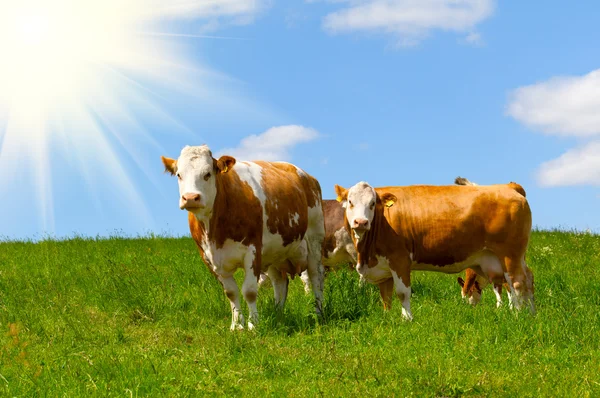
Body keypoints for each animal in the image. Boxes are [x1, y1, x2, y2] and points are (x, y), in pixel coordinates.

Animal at [162, 145, 326, 332]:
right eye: (179, 174)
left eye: (207, 173)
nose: (190, 198)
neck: (214, 232)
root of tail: (306, 175)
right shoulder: (209, 259)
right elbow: (231, 292)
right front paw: (237, 325)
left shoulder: (252, 250)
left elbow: (249, 291)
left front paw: (253, 324)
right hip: (276, 253)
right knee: (280, 282)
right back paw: (278, 316)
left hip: (314, 239)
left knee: (316, 276)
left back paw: (318, 313)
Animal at [332, 180, 536, 320]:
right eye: (350, 201)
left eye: (372, 203)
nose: (361, 222)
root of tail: (508, 186)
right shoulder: (382, 267)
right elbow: (386, 297)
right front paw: (387, 318)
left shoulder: (399, 259)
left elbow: (402, 292)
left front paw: (407, 320)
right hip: (508, 258)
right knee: (528, 279)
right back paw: (532, 314)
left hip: (509, 255)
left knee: (517, 283)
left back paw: (518, 316)